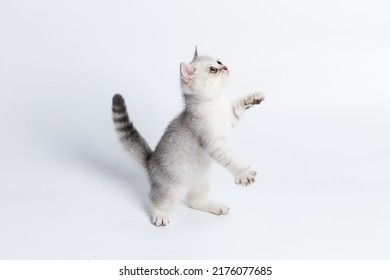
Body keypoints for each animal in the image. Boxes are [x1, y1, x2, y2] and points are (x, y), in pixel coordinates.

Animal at [112, 48, 266, 226]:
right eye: (213, 70)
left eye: (219, 61)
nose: (225, 67)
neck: (214, 103)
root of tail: (150, 161)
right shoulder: (212, 143)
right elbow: (231, 159)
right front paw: (243, 174)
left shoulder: (230, 116)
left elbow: (239, 104)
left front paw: (254, 97)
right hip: (172, 190)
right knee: (153, 200)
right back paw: (159, 214)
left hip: (202, 183)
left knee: (195, 202)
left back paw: (214, 207)